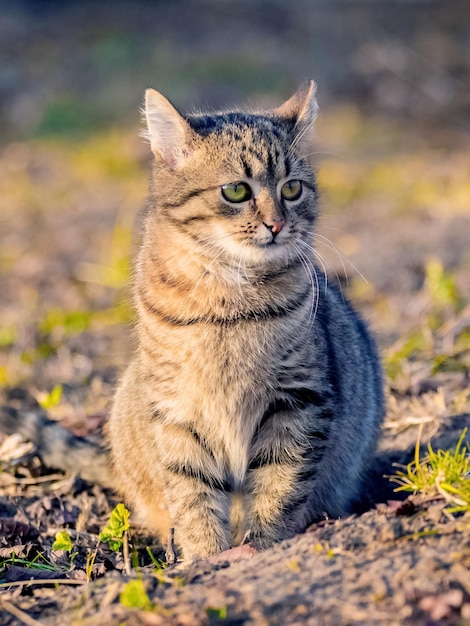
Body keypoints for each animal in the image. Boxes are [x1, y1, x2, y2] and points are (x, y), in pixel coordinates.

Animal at [104, 80, 384, 560]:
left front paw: (264, 547)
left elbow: (279, 486)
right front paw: (206, 557)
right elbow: (192, 494)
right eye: (236, 191)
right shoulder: (177, 409)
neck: (227, 299)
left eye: (292, 189)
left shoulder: (298, 400)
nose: (277, 224)